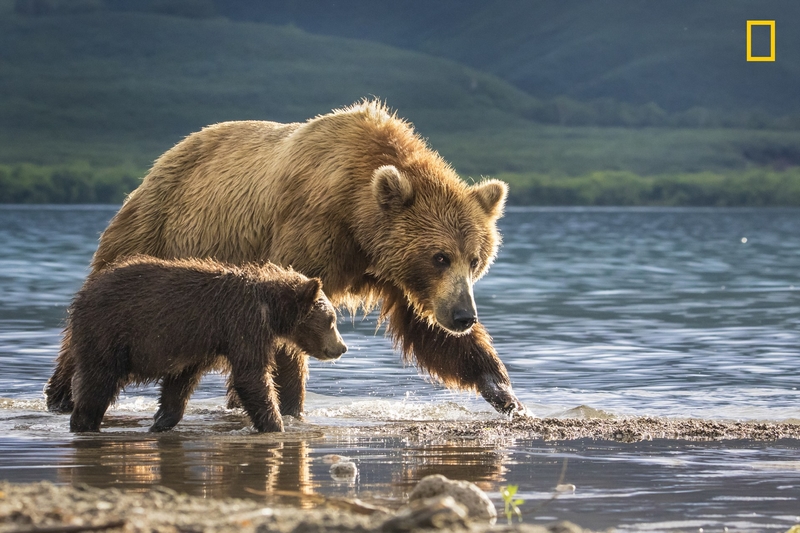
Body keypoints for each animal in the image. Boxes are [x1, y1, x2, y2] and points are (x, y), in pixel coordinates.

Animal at [47, 98, 528, 416]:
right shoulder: (311, 231)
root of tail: (161, 161)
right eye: (440, 256)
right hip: (153, 231)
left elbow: (430, 332)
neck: (359, 218)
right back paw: (63, 393)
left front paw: (504, 392)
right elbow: (291, 328)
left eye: (475, 259)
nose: (464, 315)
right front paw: (293, 406)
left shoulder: (394, 273)